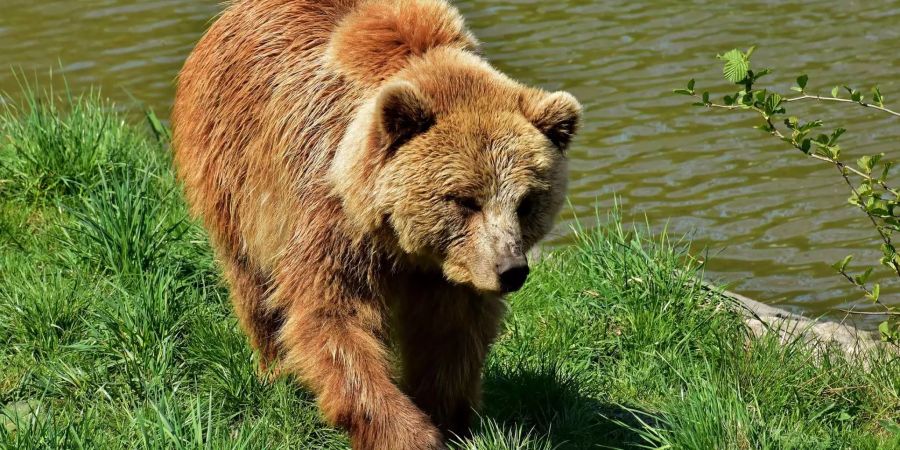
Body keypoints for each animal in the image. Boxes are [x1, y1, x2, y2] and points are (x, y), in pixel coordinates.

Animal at [174, 1, 584, 448]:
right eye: (464, 199)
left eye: (526, 202)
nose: (510, 269)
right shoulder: (330, 218)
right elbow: (333, 318)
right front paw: (408, 433)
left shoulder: (453, 271)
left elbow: (450, 334)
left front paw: (450, 417)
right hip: (234, 169)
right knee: (253, 283)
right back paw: (274, 370)